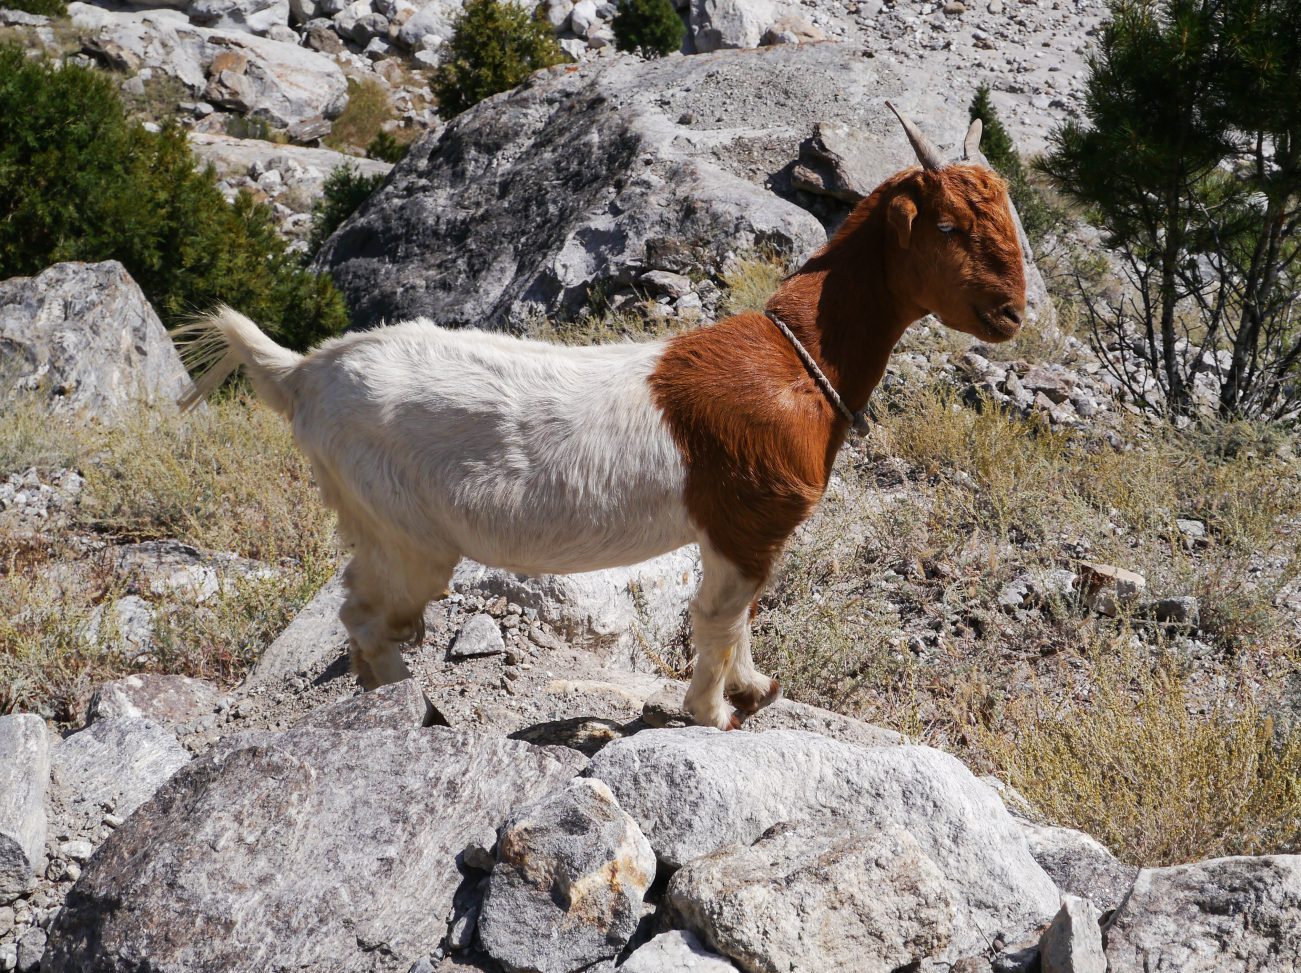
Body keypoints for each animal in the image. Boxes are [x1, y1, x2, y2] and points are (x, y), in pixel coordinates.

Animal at [175, 106, 1025, 728]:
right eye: (948, 227)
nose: (1011, 312)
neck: (798, 357)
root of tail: (303, 373)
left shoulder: (742, 531)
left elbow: (742, 617)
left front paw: (754, 687)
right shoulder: (750, 518)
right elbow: (718, 618)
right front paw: (711, 711)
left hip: (373, 520)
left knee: (358, 603)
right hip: (405, 528)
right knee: (367, 613)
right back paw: (408, 708)